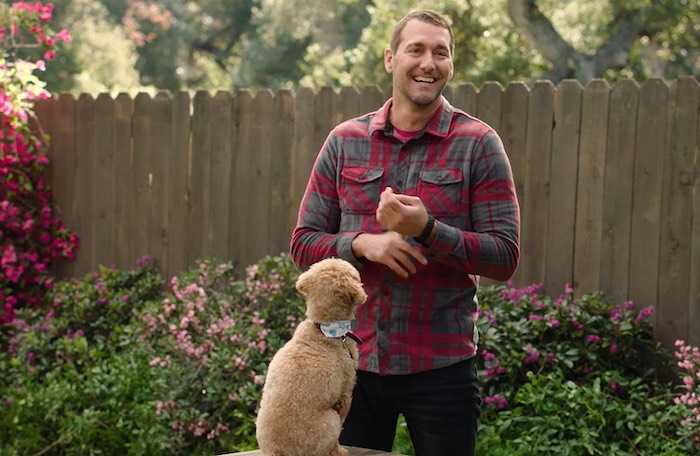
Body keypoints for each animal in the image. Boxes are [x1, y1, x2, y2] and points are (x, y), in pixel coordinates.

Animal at [256, 258, 366, 454]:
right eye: (357, 276)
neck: (325, 330)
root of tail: (278, 451)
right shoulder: (345, 394)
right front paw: (340, 451)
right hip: (330, 421)